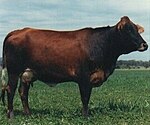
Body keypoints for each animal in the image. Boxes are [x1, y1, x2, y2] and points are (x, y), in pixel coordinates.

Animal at [0, 15, 148, 118]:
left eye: (137, 29)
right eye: (128, 30)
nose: (145, 45)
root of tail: (18, 31)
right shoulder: (84, 77)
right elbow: (85, 97)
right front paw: (85, 116)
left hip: (27, 73)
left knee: (23, 92)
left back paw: (28, 114)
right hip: (13, 71)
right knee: (10, 90)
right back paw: (11, 115)